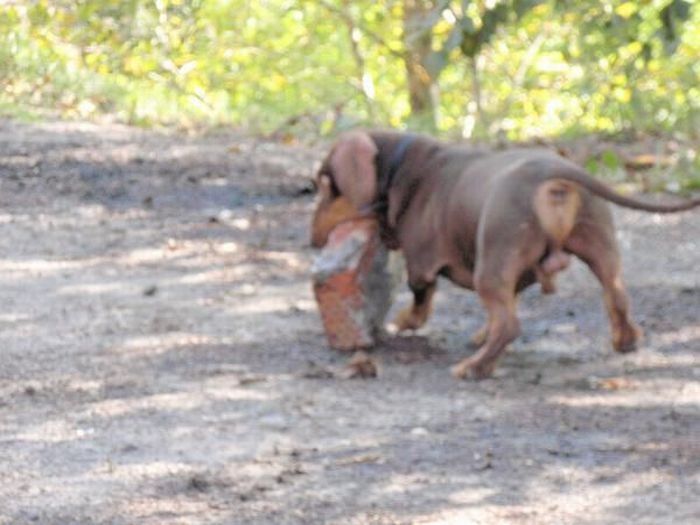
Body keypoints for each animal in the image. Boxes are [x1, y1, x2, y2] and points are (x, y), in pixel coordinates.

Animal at [312, 130, 700, 376]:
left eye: (325, 187)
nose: (313, 239)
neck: (403, 166)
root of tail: (554, 175)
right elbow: (502, 304)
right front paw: (481, 333)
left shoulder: (421, 264)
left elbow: (422, 299)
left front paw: (407, 320)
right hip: (600, 245)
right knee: (617, 296)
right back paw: (625, 341)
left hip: (491, 263)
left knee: (510, 326)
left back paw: (474, 368)